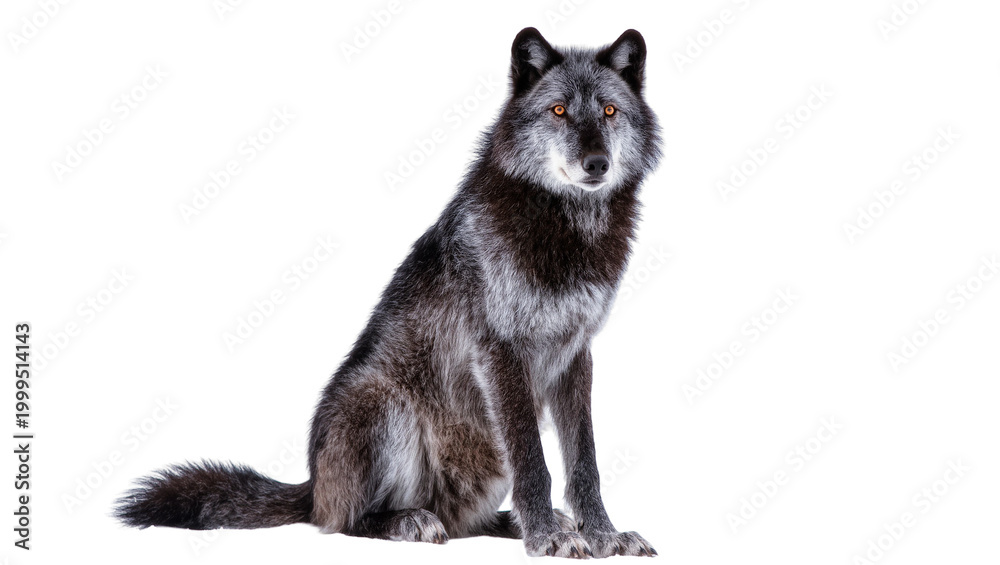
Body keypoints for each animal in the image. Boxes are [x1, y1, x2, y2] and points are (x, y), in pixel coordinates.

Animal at [115, 27, 662, 559]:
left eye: (609, 111)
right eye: (559, 111)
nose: (597, 163)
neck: (567, 230)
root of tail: (313, 485)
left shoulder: (576, 354)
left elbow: (584, 462)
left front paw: (602, 535)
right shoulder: (500, 352)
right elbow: (535, 462)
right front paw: (547, 537)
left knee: (464, 523)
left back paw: (507, 522)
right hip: (383, 403)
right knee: (342, 522)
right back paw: (409, 521)